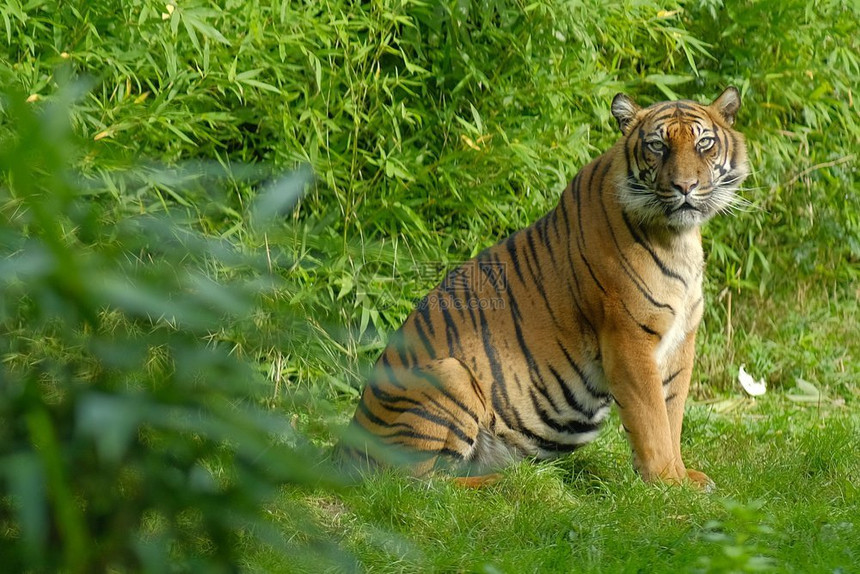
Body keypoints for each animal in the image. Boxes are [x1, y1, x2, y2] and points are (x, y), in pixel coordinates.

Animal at [336, 88, 744, 488]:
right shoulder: (629, 340)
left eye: (705, 143)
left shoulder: (680, 342)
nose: (685, 187)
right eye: (658, 146)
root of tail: (346, 444)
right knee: (416, 483)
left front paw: (684, 476)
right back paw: (506, 480)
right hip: (451, 374)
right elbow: (652, 419)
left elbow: (671, 416)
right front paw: (667, 482)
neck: (678, 238)